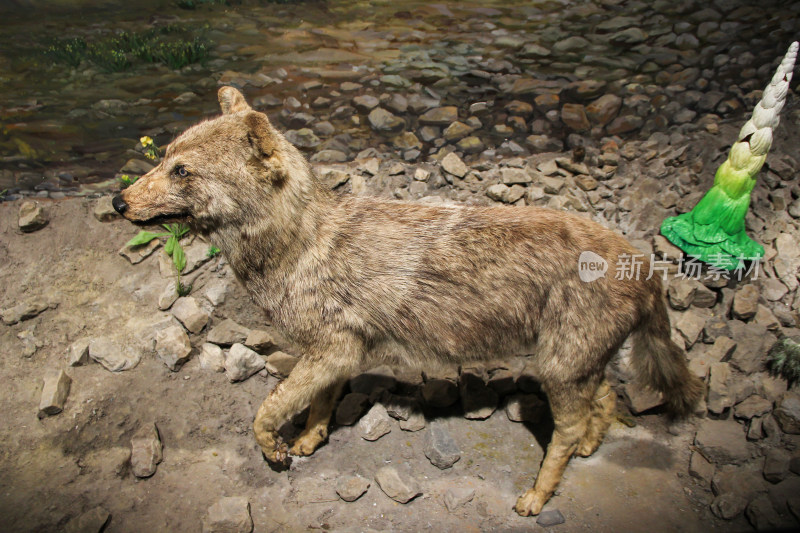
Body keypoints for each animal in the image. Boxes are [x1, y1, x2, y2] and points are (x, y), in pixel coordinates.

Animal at [112, 87, 700, 516]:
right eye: (163, 159)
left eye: (181, 171)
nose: (117, 200)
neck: (298, 244)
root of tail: (646, 266)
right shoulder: (333, 357)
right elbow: (317, 405)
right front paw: (308, 440)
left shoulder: (335, 351)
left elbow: (264, 412)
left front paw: (276, 448)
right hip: (575, 367)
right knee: (605, 399)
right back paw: (588, 449)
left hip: (557, 369)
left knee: (571, 427)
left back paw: (537, 496)